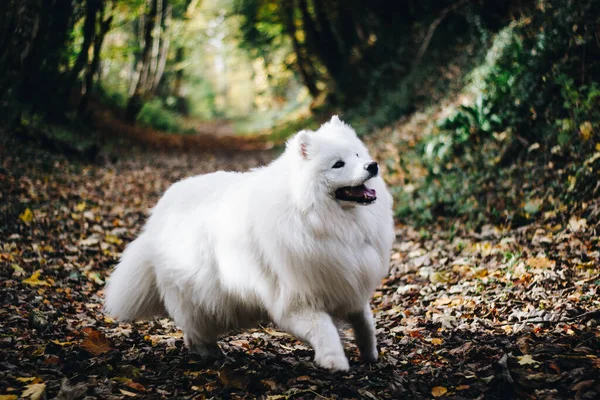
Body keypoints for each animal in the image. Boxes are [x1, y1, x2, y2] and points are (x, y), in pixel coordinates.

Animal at [104, 116, 394, 372]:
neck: (313, 216)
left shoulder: (348, 284)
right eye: (338, 164)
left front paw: (371, 354)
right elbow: (325, 329)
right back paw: (212, 354)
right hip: (199, 296)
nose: (372, 165)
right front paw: (335, 361)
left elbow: (366, 323)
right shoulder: (297, 301)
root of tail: (158, 213)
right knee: (195, 332)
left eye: (357, 155)